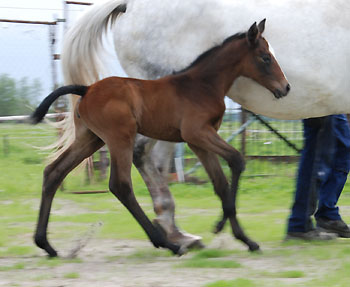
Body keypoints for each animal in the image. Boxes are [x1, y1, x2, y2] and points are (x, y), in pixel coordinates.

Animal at [32, 20, 290, 258]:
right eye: (265, 57)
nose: (285, 88)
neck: (202, 85)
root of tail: (86, 89)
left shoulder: (198, 142)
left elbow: (220, 183)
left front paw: (244, 238)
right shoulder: (197, 132)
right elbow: (237, 160)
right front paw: (221, 227)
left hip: (90, 139)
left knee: (53, 172)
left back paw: (46, 244)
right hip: (120, 138)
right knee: (120, 185)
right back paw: (168, 244)